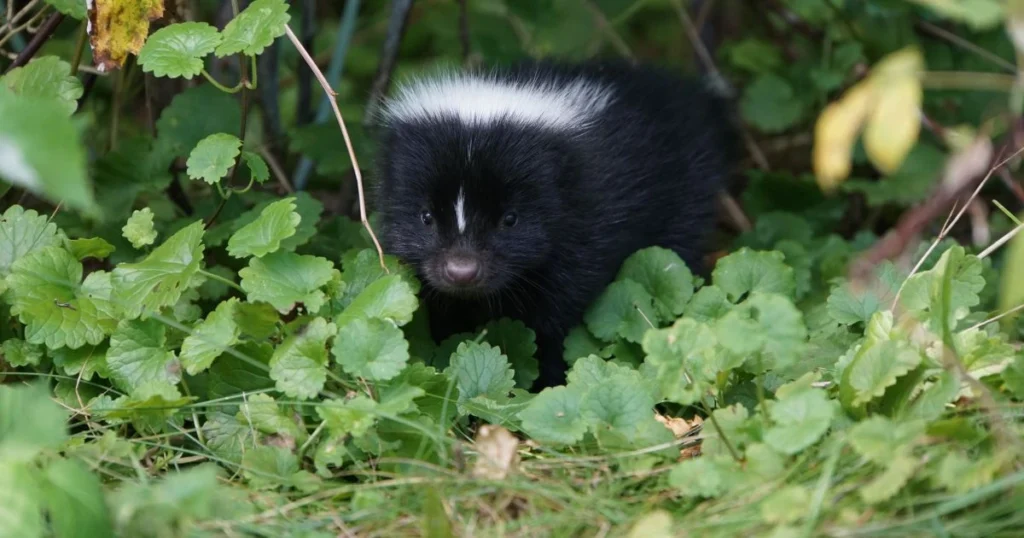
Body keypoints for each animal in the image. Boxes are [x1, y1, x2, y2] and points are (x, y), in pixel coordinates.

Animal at [372, 58, 733, 387]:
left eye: (510, 219)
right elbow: (443, 313)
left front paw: (546, 384)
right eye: (426, 216)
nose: (461, 271)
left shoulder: (586, 225)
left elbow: (556, 320)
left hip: (685, 192)